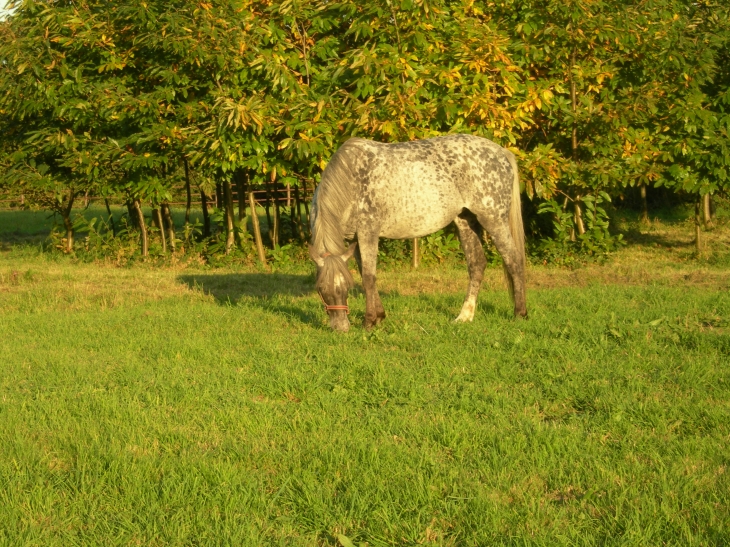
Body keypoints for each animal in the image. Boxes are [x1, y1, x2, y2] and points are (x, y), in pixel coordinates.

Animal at [306, 136, 524, 334]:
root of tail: (502, 152)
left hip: (494, 220)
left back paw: (520, 314)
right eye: (320, 289)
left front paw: (368, 322)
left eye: (346, 288)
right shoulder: (355, 239)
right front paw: (379, 317)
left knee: (514, 261)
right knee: (477, 265)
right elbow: (366, 275)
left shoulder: (368, 233)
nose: (340, 328)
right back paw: (464, 316)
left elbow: (368, 277)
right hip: (465, 221)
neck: (352, 180)